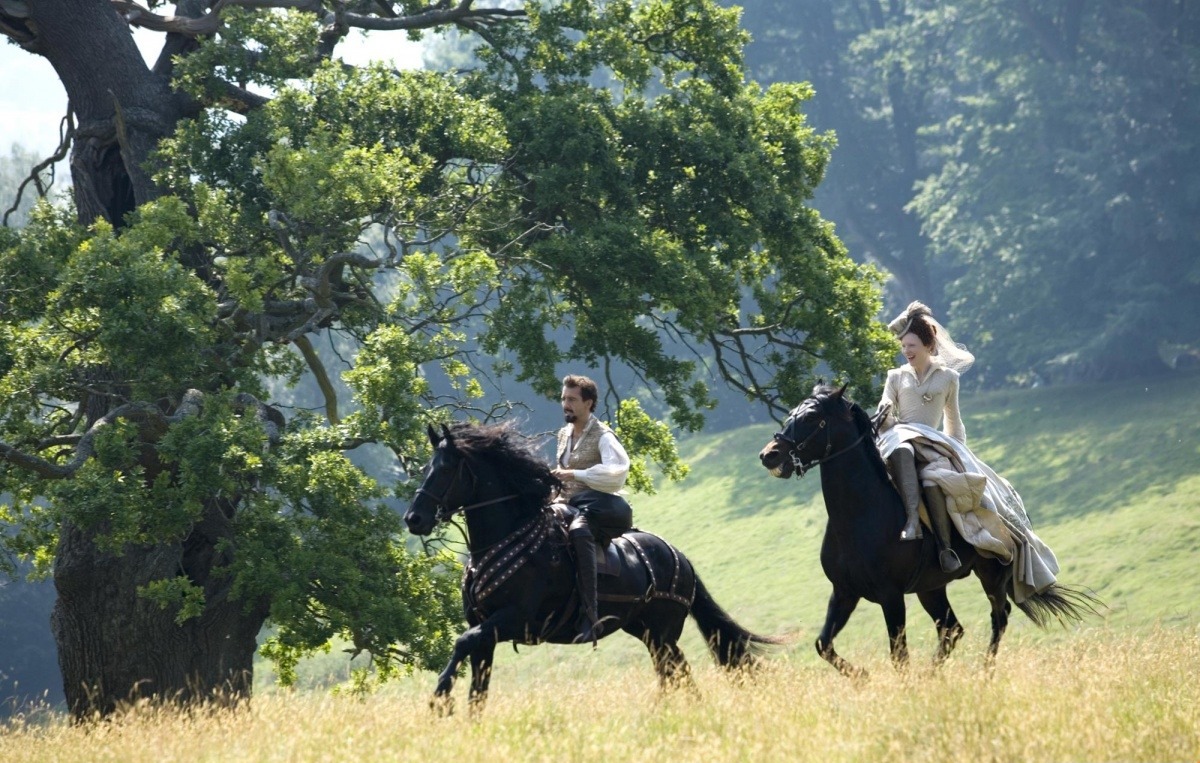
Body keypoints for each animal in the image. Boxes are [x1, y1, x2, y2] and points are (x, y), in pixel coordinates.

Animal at [400, 419, 777, 710]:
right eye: (425, 468)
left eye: (445, 469)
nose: (414, 519)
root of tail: (679, 558)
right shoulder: (486, 630)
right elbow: (478, 692)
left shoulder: (512, 619)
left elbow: (461, 643)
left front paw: (439, 698)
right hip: (647, 631)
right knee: (676, 674)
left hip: (662, 632)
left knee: (676, 674)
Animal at [758, 383, 1099, 676]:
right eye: (792, 413)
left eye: (811, 418)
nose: (769, 455)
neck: (860, 517)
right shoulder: (844, 592)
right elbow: (823, 644)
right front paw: (863, 677)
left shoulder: (890, 596)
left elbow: (899, 656)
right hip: (930, 588)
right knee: (952, 629)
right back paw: (932, 675)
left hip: (991, 575)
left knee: (998, 618)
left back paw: (983, 672)